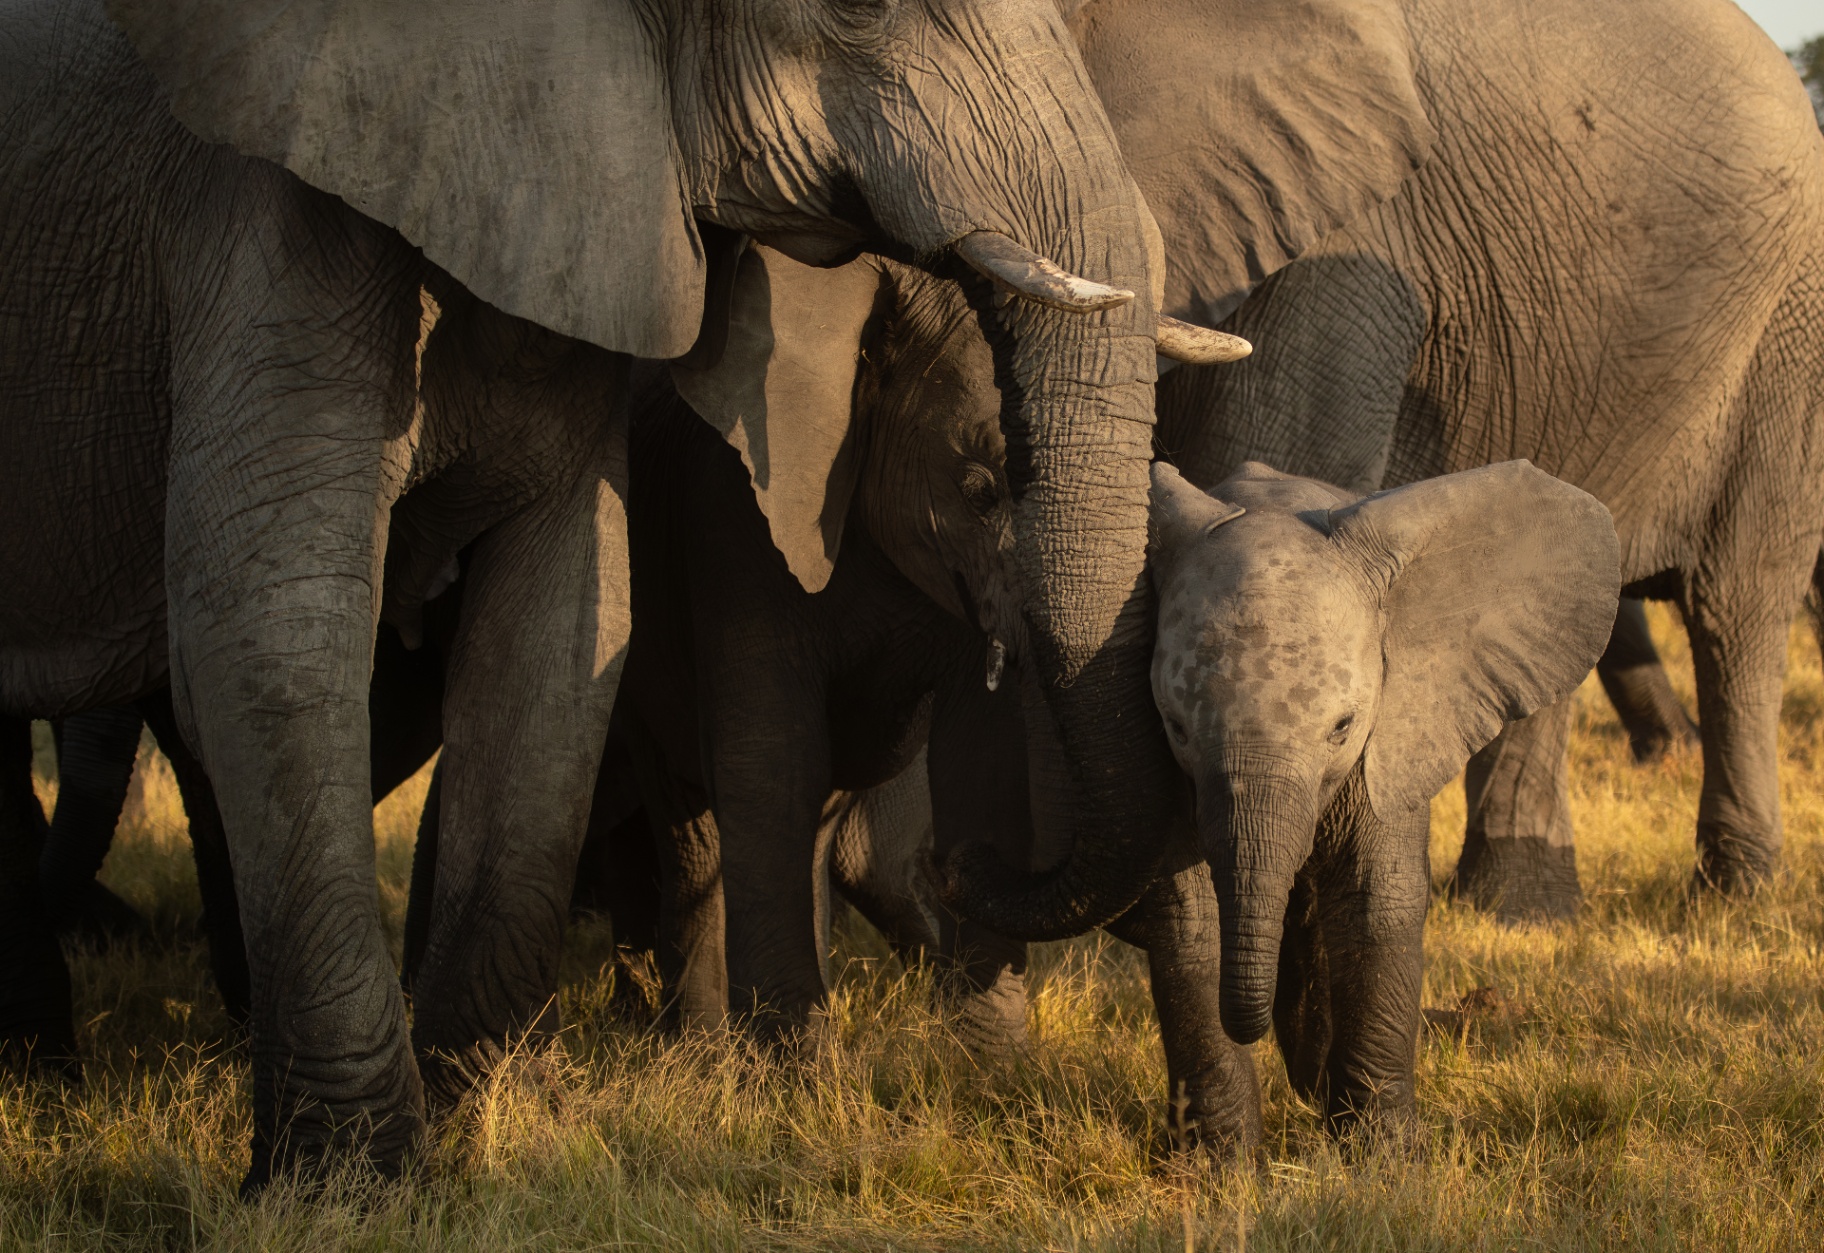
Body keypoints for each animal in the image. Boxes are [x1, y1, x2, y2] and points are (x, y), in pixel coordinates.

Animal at [8, 0, 1289, 1184]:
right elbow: (275, 624)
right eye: (863, 9)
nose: (966, 870)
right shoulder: (257, 204)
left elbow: (564, 621)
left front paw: (477, 1142)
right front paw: (352, 1186)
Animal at [1129, 0, 1824, 916]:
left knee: (1736, 603)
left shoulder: (1332, 241)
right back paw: (1522, 906)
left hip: (1786, 331)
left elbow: (1259, 469)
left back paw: (1733, 896)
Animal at [1146, 459, 1619, 1132]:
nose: (1249, 1028)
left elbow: (1378, 900)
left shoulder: (1391, 739)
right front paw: (1222, 1157)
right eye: (1176, 727)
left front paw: (1382, 1151)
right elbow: (1189, 916)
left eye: (1343, 727)